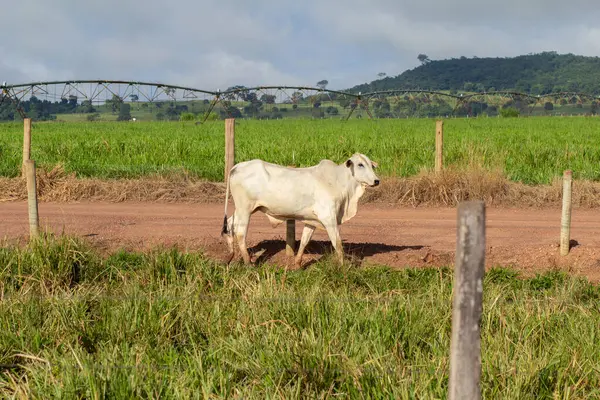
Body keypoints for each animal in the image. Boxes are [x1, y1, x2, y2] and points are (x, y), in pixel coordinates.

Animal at [220, 153, 380, 268]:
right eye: (360, 164)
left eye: (371, 165)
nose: (376, 181)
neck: (338, 181)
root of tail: (237, 167)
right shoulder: (329, 218)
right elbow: (338, 244)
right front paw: (342, 267)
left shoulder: (312, 221)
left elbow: (304, 241)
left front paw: (297, 264)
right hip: (245, 209)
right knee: (240, 233)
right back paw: (248, 263)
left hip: (243, 210)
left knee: (229, 225)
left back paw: (230, 254)